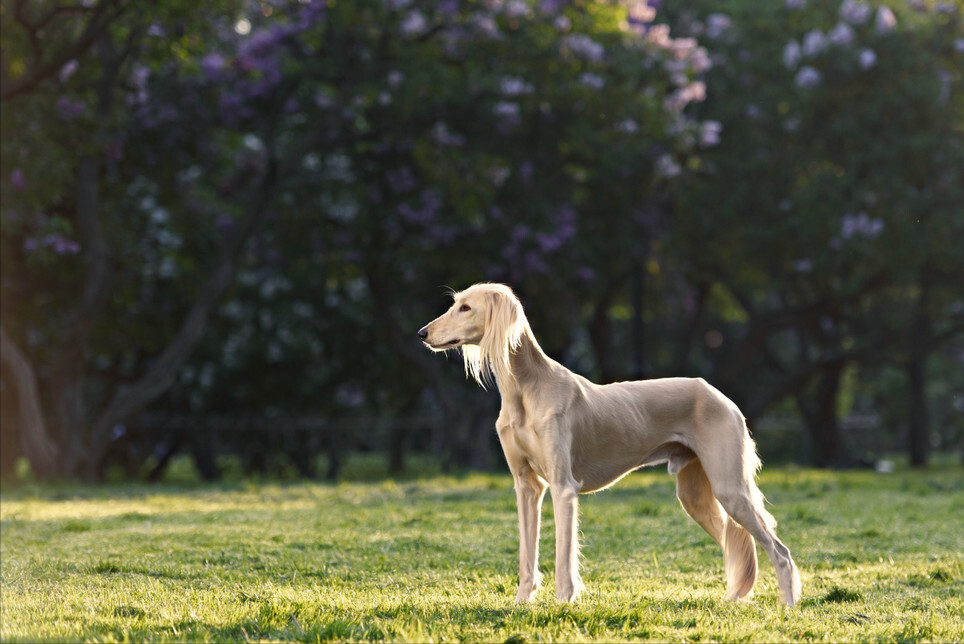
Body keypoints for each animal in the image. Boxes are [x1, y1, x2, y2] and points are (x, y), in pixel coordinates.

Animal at [418, 282, 804, 604]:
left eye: (466, 308)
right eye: (455, 304)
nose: (423, 333)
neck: (525, 391)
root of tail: (722, 397)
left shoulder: (563, 487)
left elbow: (564, 558)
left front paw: (563, 605)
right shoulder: (527, 487)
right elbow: (527, 557)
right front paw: (520, 605)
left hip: (730, 488)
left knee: (780, 551)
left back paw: (788, 606)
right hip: (696, 496)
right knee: (738, 543)